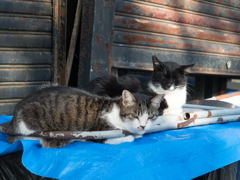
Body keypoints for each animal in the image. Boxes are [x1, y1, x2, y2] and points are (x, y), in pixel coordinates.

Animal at [7, 86, 165, 148]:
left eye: (151, 117)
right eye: (135, 116)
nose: (143, 126)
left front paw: (138, 133)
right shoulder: (100, 133)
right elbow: (127, 138)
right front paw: (131, 136)